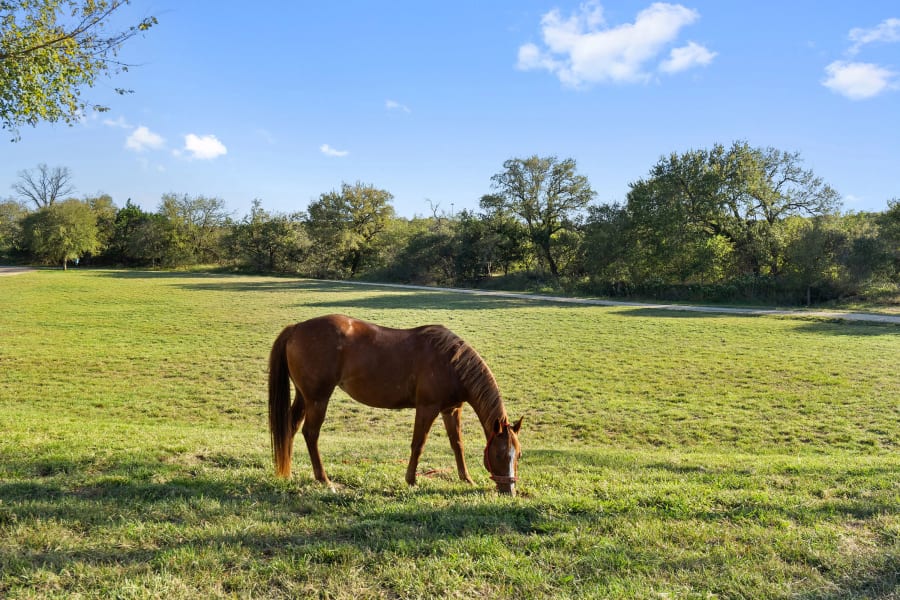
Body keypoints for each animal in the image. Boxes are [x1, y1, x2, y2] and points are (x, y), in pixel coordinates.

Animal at [268, 314, 520, 492]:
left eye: (517, 455)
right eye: (499, 455)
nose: (509, 490)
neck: (451, 362)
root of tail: (296, 328)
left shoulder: (451, 410)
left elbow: (457, 444)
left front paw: (466, 479)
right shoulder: (427, 408)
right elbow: (418, 444)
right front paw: (411, 480)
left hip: (304, 397)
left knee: (291, 427)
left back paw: (287, 472)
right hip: (318, 399)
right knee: (311, 434)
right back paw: (324, 479)